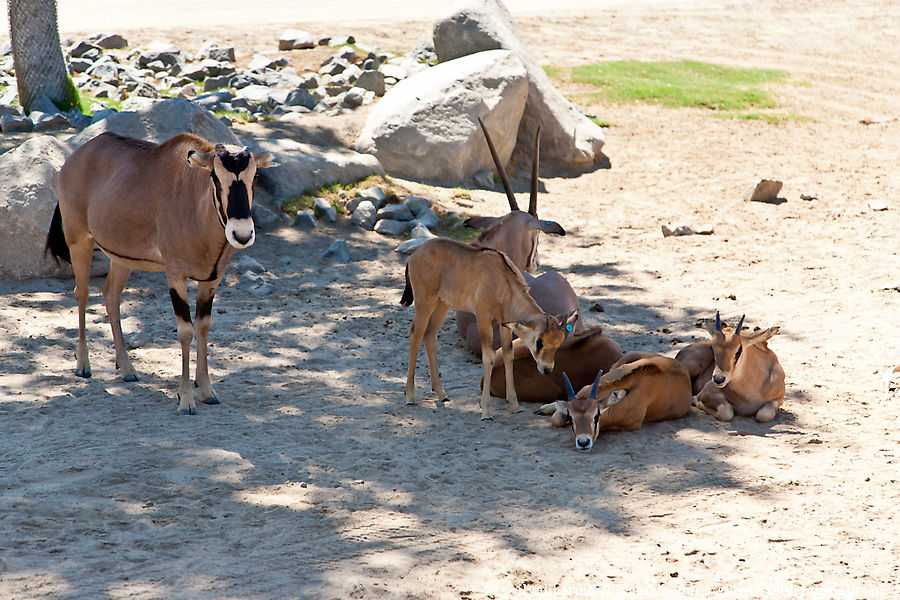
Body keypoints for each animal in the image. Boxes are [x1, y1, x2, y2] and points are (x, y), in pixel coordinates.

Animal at [45, 131, 274, 414]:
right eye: (215, 176)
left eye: (255, 175)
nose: (241, 234)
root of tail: (76, 156)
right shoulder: (175, 275)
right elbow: (186, 332)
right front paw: (186, 399)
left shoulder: (212, 278)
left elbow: (204, 326)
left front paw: (207, 390)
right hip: (79, 241)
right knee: (82, 293)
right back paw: (83, 365)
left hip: (122, 258)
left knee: (111, 296)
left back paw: (127, 368)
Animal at [400, 237, 576, 420]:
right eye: (539, 342)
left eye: (558, 343)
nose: (547, 369)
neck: (503, 282)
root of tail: (414, 255)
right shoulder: (483, 319)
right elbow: (489, 357)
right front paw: (486, 411)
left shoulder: (504, 324)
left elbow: (508, 356)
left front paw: (515, 406)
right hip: (425, 302)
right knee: (415, 334)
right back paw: (410, 396)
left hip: (442, 304)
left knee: (430, 335)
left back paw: (442, 394)